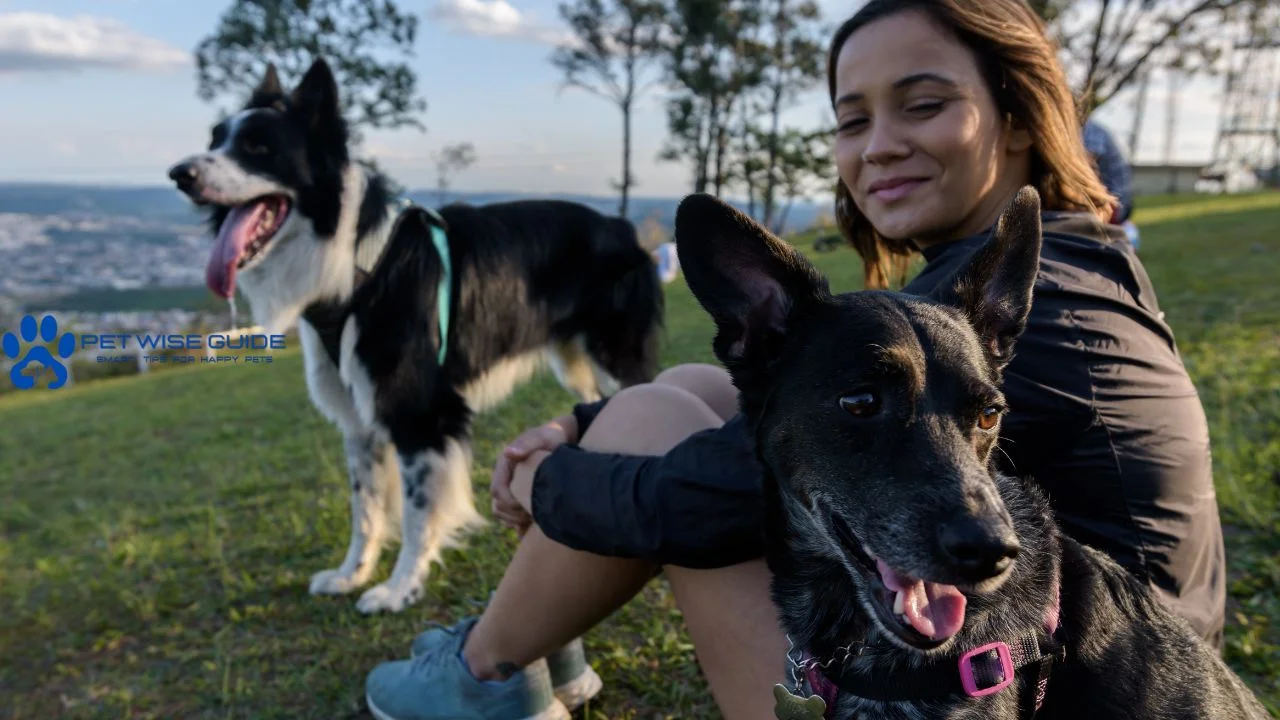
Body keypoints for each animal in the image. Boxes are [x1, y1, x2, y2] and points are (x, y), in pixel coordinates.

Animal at [166, 58, 665, 614]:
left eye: (258, 147)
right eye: (215, 139)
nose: (179, 174)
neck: (354, 265)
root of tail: (622, 226)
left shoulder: (422, 414)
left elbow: (416, 511)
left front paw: (400, 588)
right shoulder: (360, 422)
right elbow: (364, 508)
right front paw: (352, 574)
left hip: (616, 357)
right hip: (575, 364)